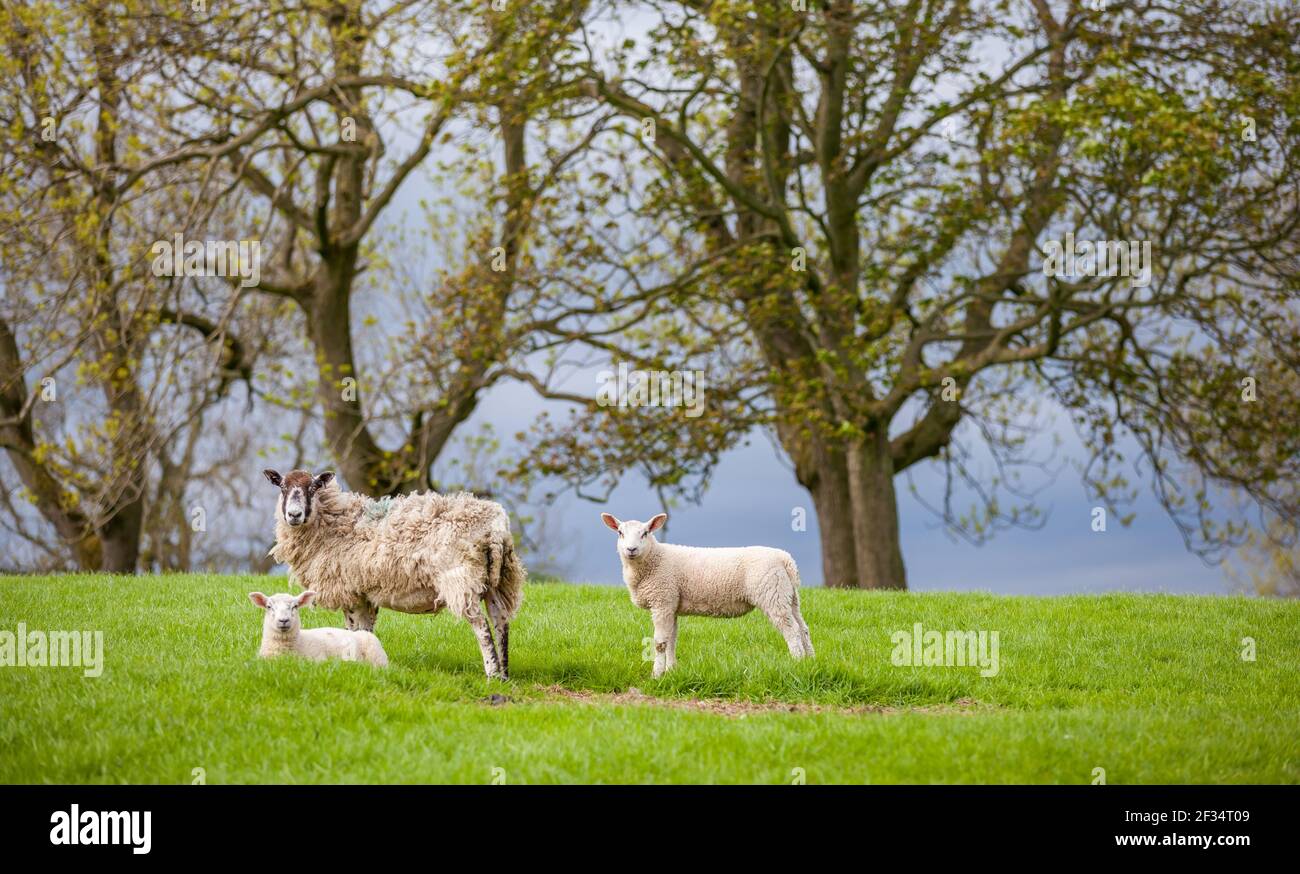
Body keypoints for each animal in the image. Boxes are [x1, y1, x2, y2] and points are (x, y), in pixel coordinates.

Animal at [598, 512, 811, 676]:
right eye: (620, 533)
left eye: (645, 533)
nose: (631, 549)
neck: (654, 560)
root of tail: (785, 559)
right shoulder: (672, 604)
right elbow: (672, 640)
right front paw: (672, 670)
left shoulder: (662, 600)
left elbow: (660, 643)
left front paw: (656, 675)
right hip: (788, 595)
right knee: (803, 628)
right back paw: (810, 660)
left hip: (772, 594)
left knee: (791, 630)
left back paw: (797, 663)